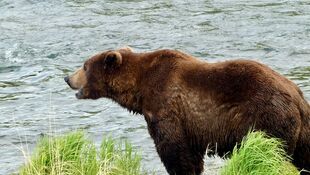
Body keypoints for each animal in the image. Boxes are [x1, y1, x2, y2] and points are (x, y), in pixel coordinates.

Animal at [64, 47, 308, 174]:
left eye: (84, 66)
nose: (67, 77)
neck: (139, 88)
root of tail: (297, 95)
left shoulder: (166, 106)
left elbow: (175, 150)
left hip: (267, 118)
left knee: (272, 153)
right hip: (302, 131)